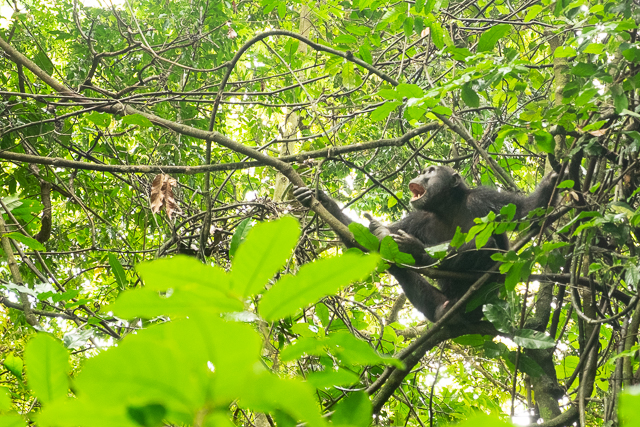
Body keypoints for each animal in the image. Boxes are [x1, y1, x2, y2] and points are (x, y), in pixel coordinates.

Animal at [292, 166, 556, 322]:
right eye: (424, 171)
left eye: (431, 171)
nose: (420, 175)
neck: (447, 206)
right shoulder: (418, 218)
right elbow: (364, 242)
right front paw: (323, 200)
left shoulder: (485, 197)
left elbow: (526, 210)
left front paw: (551, 183)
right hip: (440, 305)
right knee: (398, 268)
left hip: (487, 302)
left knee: (487, 244)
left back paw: (416, 252)